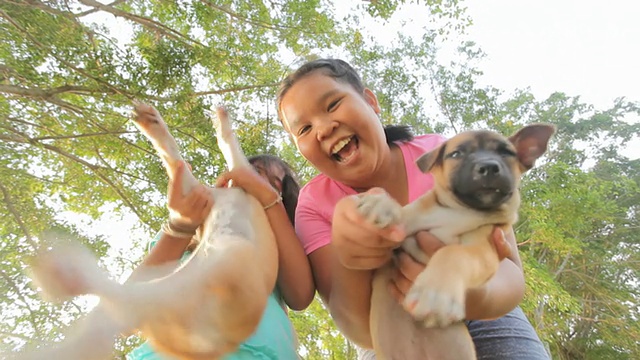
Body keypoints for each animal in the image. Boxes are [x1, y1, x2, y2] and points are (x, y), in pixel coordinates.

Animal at [13, 104, 278, 360]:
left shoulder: (222, 176)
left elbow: (217, 145)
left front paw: (214, 120)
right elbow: (180, 154)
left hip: (219, 263)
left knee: (117, 300)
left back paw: (65, 274)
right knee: (112, 311)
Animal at [356, 124, 556, 360]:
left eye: (506, 153)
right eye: (456, 154)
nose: (488, 167)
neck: (461, 210)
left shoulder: (482, 250)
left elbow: (452, 253)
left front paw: (435, 292)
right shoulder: (406, 231)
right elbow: (403, 213)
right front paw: (381, 204)